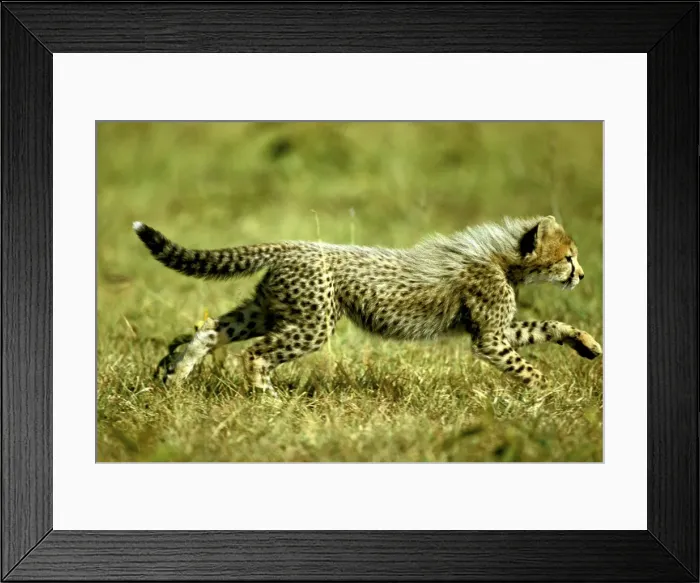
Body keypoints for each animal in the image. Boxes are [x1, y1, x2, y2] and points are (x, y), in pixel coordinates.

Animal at [132, 215, 601, 395]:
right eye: (568, 257)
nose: (581, 275)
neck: (506, 260)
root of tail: (294, 244)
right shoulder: (489, 338)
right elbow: (527, 366)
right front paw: (546, 394)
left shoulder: (498, 330)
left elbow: (547, 326)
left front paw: (586, 343)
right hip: (313, 324)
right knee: (255, 354)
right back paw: (267, 400)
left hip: (268, 310)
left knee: (209, 330)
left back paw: (176, 376)